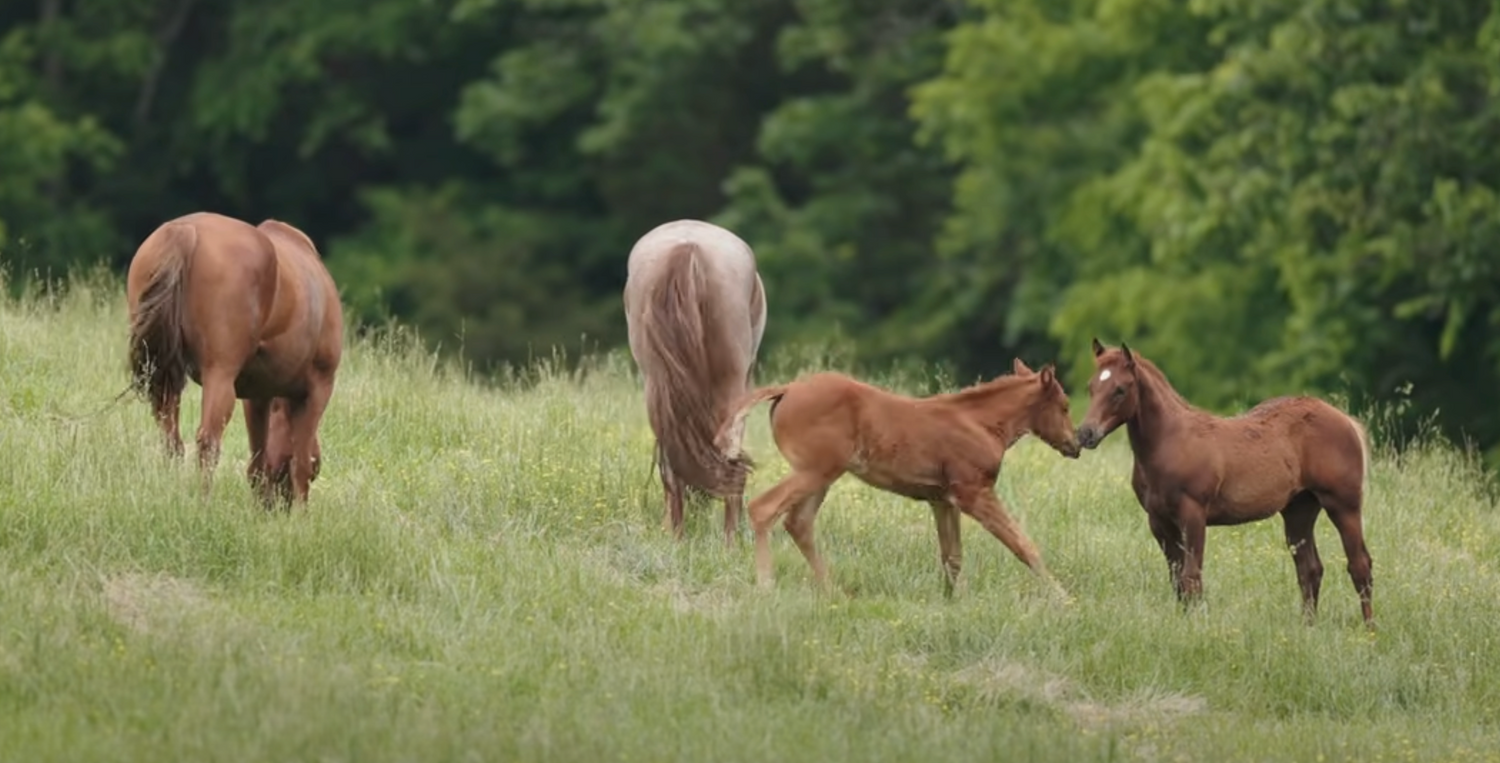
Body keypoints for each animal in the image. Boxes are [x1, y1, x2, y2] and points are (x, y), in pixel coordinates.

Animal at [126, 211, 343, 507]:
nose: (276, 508)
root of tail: (185, 231)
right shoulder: (317, 389)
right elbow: (300, 464)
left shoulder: (258, 396)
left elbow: (258, 462)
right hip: (220, 376)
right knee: (208, 442)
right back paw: (203, 503)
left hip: (166, 376)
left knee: (172, 439)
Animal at [623, 219, 767, 546]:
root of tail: (688, 248)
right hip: (732, 384)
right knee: (730, 457)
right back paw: (730, 540)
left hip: (656, 386)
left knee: (671, 459)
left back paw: (676, 536)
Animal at [714, 358, 1081, 596]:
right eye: (1064, 406)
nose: (1076, 445)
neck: (980, 423)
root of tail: (788, 388)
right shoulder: (974, 493)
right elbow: (1024, 545)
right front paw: (1063, 599)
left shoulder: (942, 500)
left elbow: (952, 557)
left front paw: (952, 603)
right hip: (815, 470)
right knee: (764, 509)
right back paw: (767, 586)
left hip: (821, 474)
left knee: (798, 523)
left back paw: (833, 592)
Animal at [1075, 339, 1373, 626]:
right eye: (1091, 387)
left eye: (1120, 390)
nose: (1085, 433)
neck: (1170, 441)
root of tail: (1346, 420)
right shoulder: (1159, 521)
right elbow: (1176, 580)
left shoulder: (1193, 514)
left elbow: (1191, 577)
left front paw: (1196, 628)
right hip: (1299, 509)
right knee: (1309, 569)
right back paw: (1308, 627)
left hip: (1343, 504)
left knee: (1360, 565)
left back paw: (1369, 629)